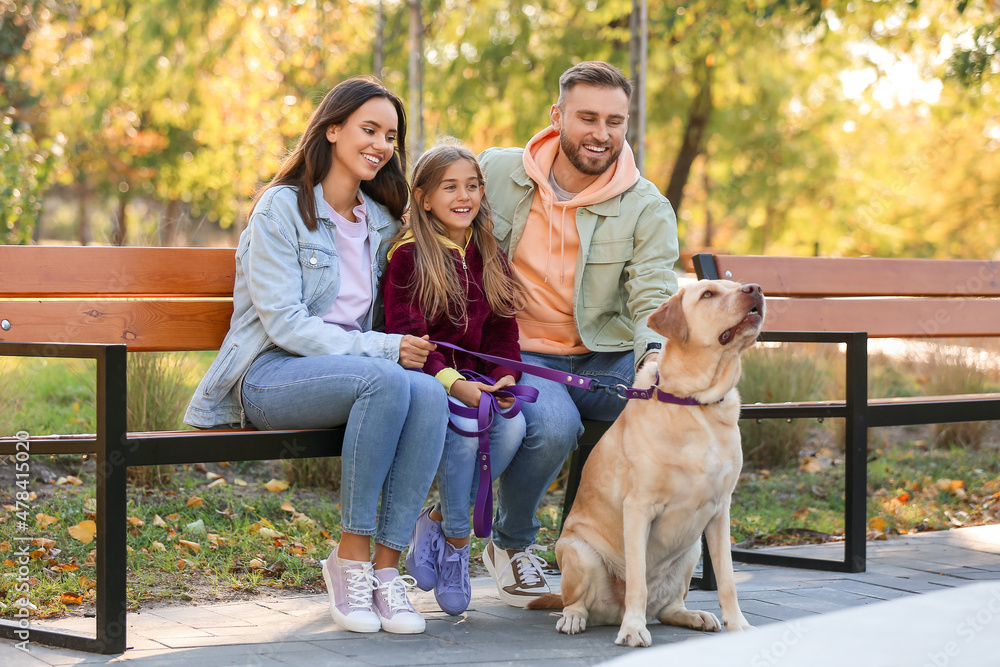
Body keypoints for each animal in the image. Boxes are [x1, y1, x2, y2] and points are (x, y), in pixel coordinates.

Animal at [532, 280, 764, 648]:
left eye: (738, 285)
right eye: (708, 294)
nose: (755, 289)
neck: (696, 404)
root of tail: (611, 613)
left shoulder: (720, 511)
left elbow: (727, 579)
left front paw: (739, 626)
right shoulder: (639, 507)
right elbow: (638, 580)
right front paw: (633, 629)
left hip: (691, 552)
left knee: (669, 606)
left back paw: (693, 615)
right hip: (578, 552)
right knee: (576, 601)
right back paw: (576, 618)